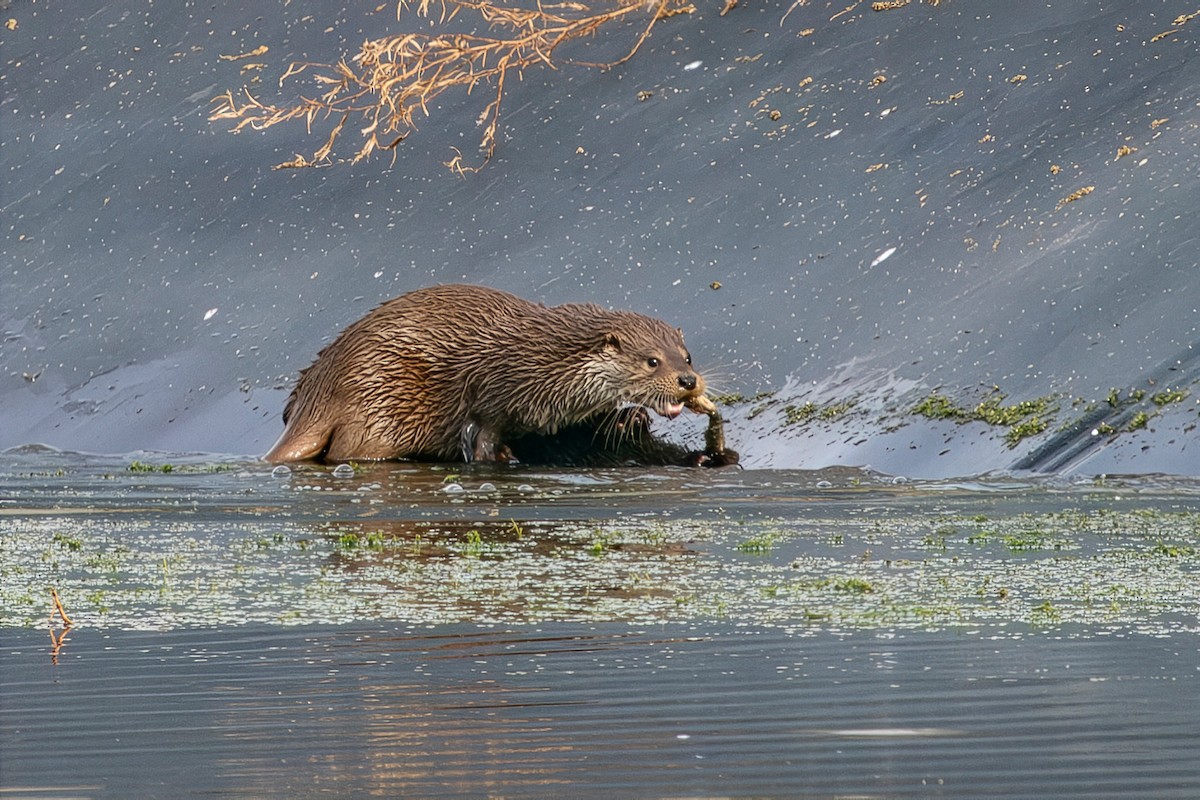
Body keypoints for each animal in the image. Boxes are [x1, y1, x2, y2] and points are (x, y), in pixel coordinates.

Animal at [264, 284, 736, 467]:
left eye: (687, 356)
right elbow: (484, 434)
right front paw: (502, 457)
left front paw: (629, 419)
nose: (688, 381)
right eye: (652, 361)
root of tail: (321, 388)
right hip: (378, 412)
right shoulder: (493, 394)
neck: (545, 362)